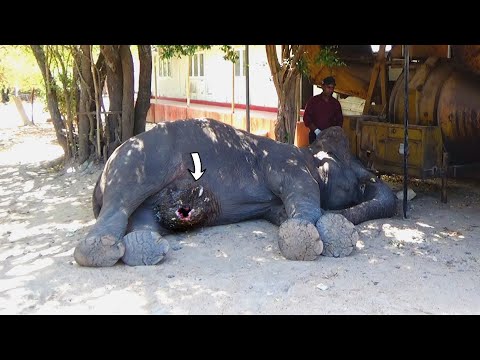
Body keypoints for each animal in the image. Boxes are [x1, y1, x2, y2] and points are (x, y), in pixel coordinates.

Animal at [74, 118, 398, 268]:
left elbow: (282, 213)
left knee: (144, 219)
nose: (373, 176)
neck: (307, 152)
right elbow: (300, 186)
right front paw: (320, 239)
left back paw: (147, 249)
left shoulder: (274, 204)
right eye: (358, 180)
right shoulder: (283, 161)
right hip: (138, 163)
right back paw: (102, 250)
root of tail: (99, 181)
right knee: (122, 201)